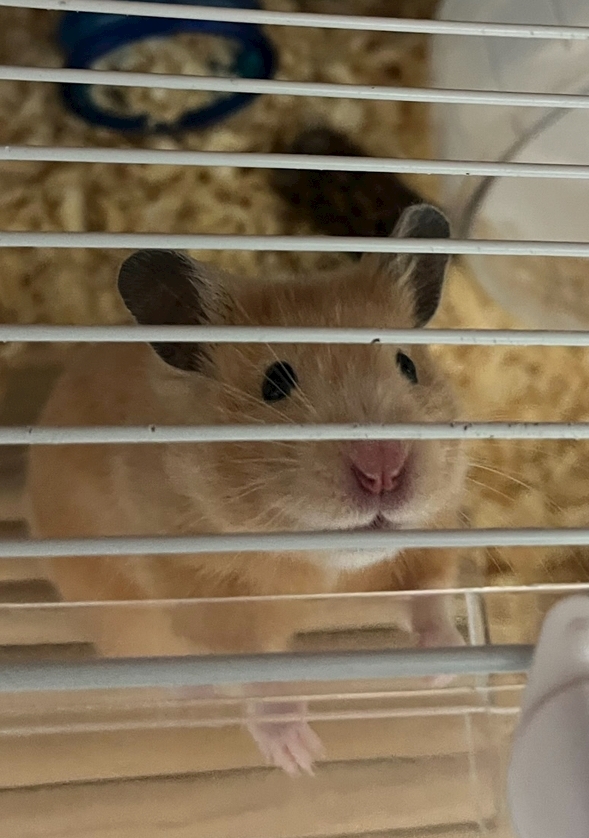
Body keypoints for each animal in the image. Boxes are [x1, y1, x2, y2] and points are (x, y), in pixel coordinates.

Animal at [27, 203, 467, 776]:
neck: (324, 572)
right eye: (275, 384)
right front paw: (301, 756)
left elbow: (428, 595)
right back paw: (200, 698)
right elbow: (253, 667)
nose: (383, 471)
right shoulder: (205, 596)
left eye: (408, 365)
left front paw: (446, 668)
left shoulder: (429, 536)